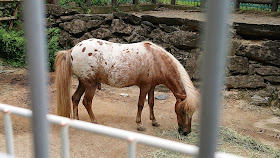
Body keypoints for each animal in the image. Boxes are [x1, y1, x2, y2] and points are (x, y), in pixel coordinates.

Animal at [54, 37, 199, 135]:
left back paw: (77, 121)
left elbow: (151, 103)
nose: (186, 132)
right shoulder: (144, 87)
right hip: (90, 84)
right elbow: (141, 104)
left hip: (83, 82)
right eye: (182, 111)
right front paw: (139, 125)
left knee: (75, 98)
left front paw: (154, 121)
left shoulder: (152, 87)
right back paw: (95, 122)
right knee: (86, 101)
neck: (156, 60)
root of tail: (73, 50)